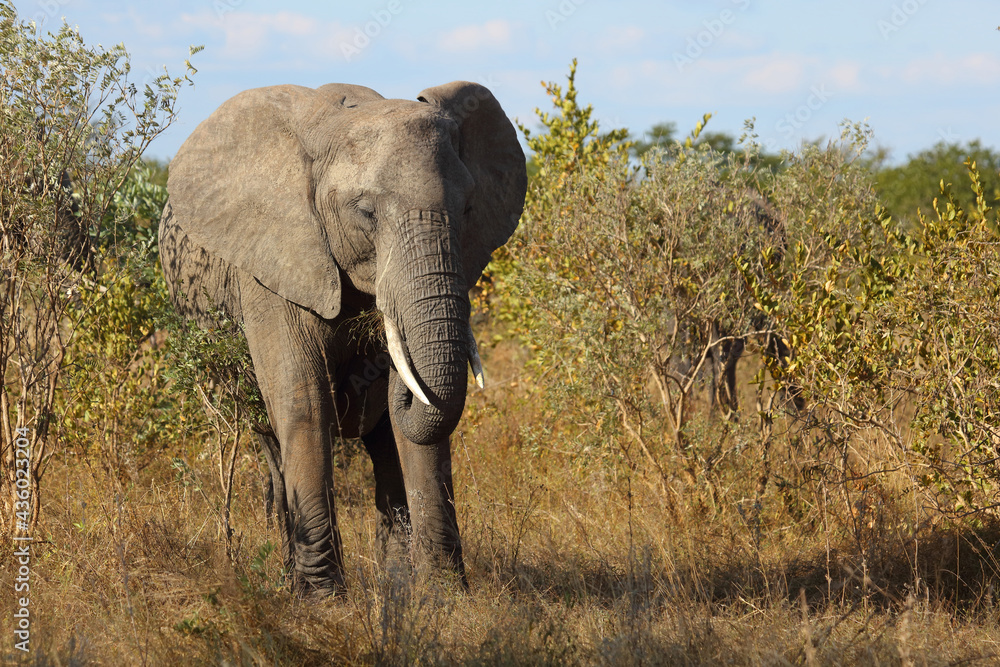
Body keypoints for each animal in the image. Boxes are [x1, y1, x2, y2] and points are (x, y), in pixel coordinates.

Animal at [158, 81, 526, 596]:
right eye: (365, 212)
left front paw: (444, 595)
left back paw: (395, 584)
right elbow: (303, 402)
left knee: (385, 448)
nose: (387, 373)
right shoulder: (271, 269)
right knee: (273, 441)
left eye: (468, 209)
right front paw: (323, 599)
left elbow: (418, 429)